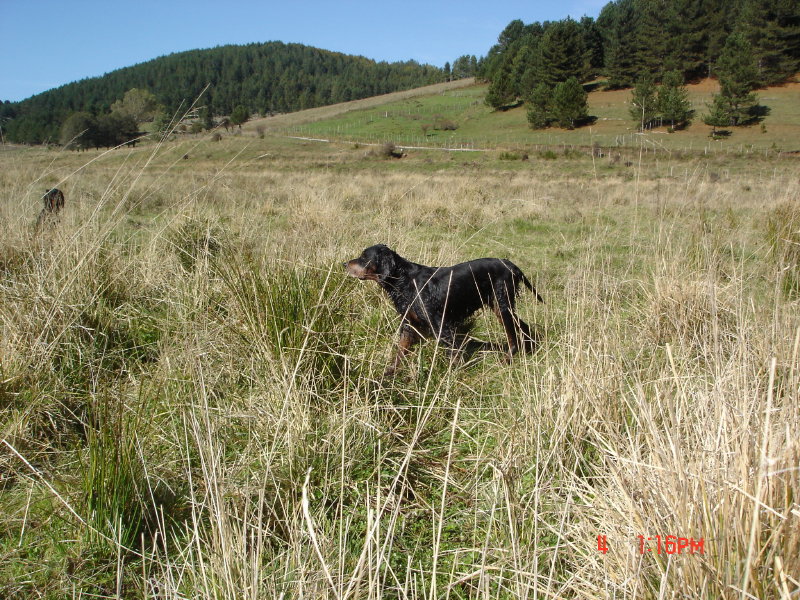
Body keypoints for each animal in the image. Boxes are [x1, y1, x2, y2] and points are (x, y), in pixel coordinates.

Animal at [346, 245, 544, 376]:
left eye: (363, 258)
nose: (344, 264)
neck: (404, 281)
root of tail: (510, 265)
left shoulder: (441, 325)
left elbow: (454, 356)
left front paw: (453, 377)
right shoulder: (410, 325)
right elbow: (400, 352)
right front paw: (387, 374)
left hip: (502, 304)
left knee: (512, 335)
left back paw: (507, 359)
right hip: (500, 306)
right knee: (523, 326)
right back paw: (528, 349)